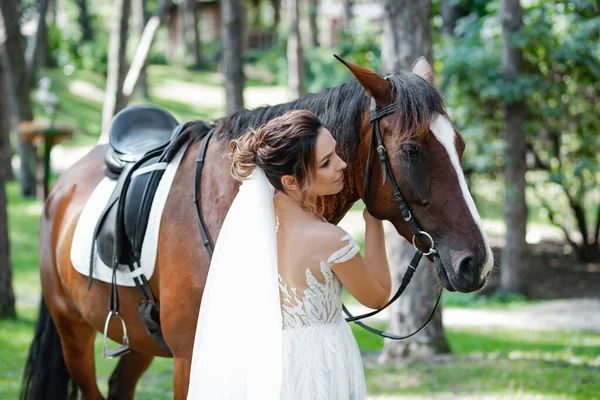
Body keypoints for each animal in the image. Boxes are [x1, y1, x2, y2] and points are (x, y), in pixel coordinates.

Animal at [22, 57, 492, 400]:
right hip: (73, 333)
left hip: (138, 341)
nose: (477, 262)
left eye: (461, 145)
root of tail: (61, 186)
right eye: (411, 150)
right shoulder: (192, 362)